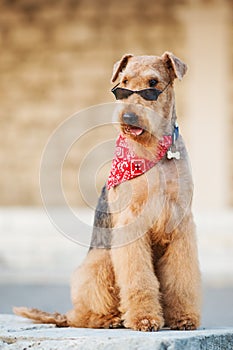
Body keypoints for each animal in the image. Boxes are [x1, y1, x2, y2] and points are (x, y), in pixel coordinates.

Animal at [14, 51, 200, 330]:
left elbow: (181, 279)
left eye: (153, 84)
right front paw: (145, 319)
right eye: (123, 83)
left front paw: (184, 318)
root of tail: (66, 314)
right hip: (99, 262)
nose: (128, 117)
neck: (154, 150)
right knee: (86, 314)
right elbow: (138, 278)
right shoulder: (132, 222)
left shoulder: (180, 222)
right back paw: (111, 319)